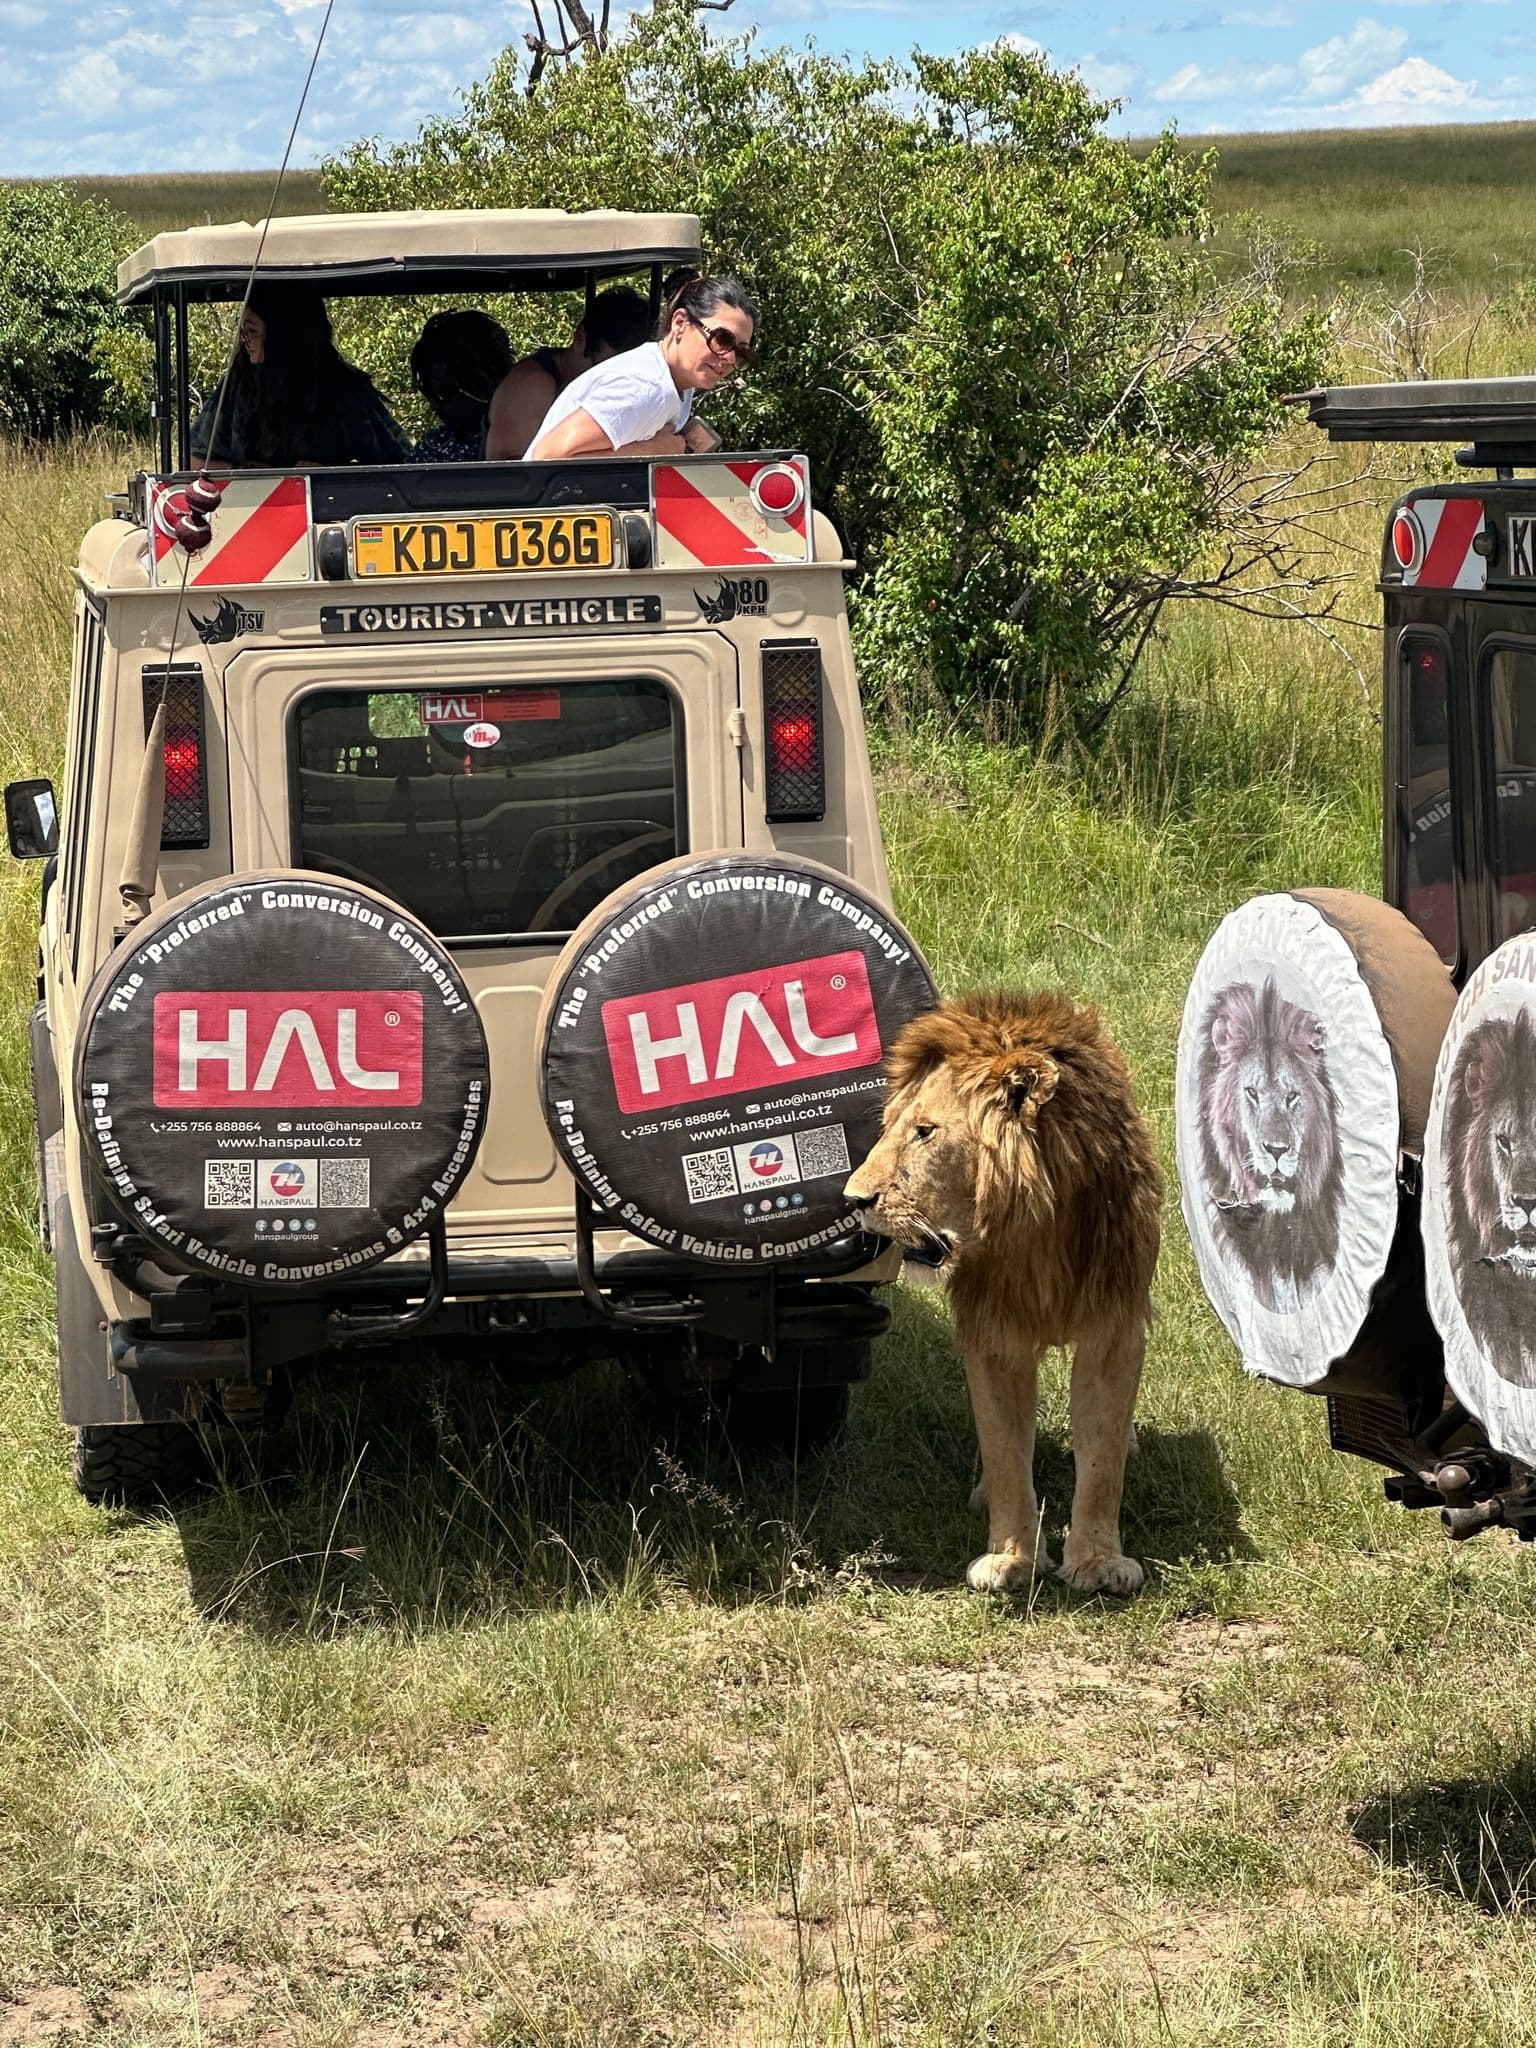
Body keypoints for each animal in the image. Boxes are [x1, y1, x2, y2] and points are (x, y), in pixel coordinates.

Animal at [843, 990, 1161, 1597]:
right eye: (891, 1126)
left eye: (925, 1131)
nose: (854, 1199)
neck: (1035, 1233)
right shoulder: (993, 1335)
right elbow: (1005, 1448)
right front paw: (1011, 1559)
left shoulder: (1114, 1325)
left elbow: (1103, 1454)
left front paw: (1098, 1563)